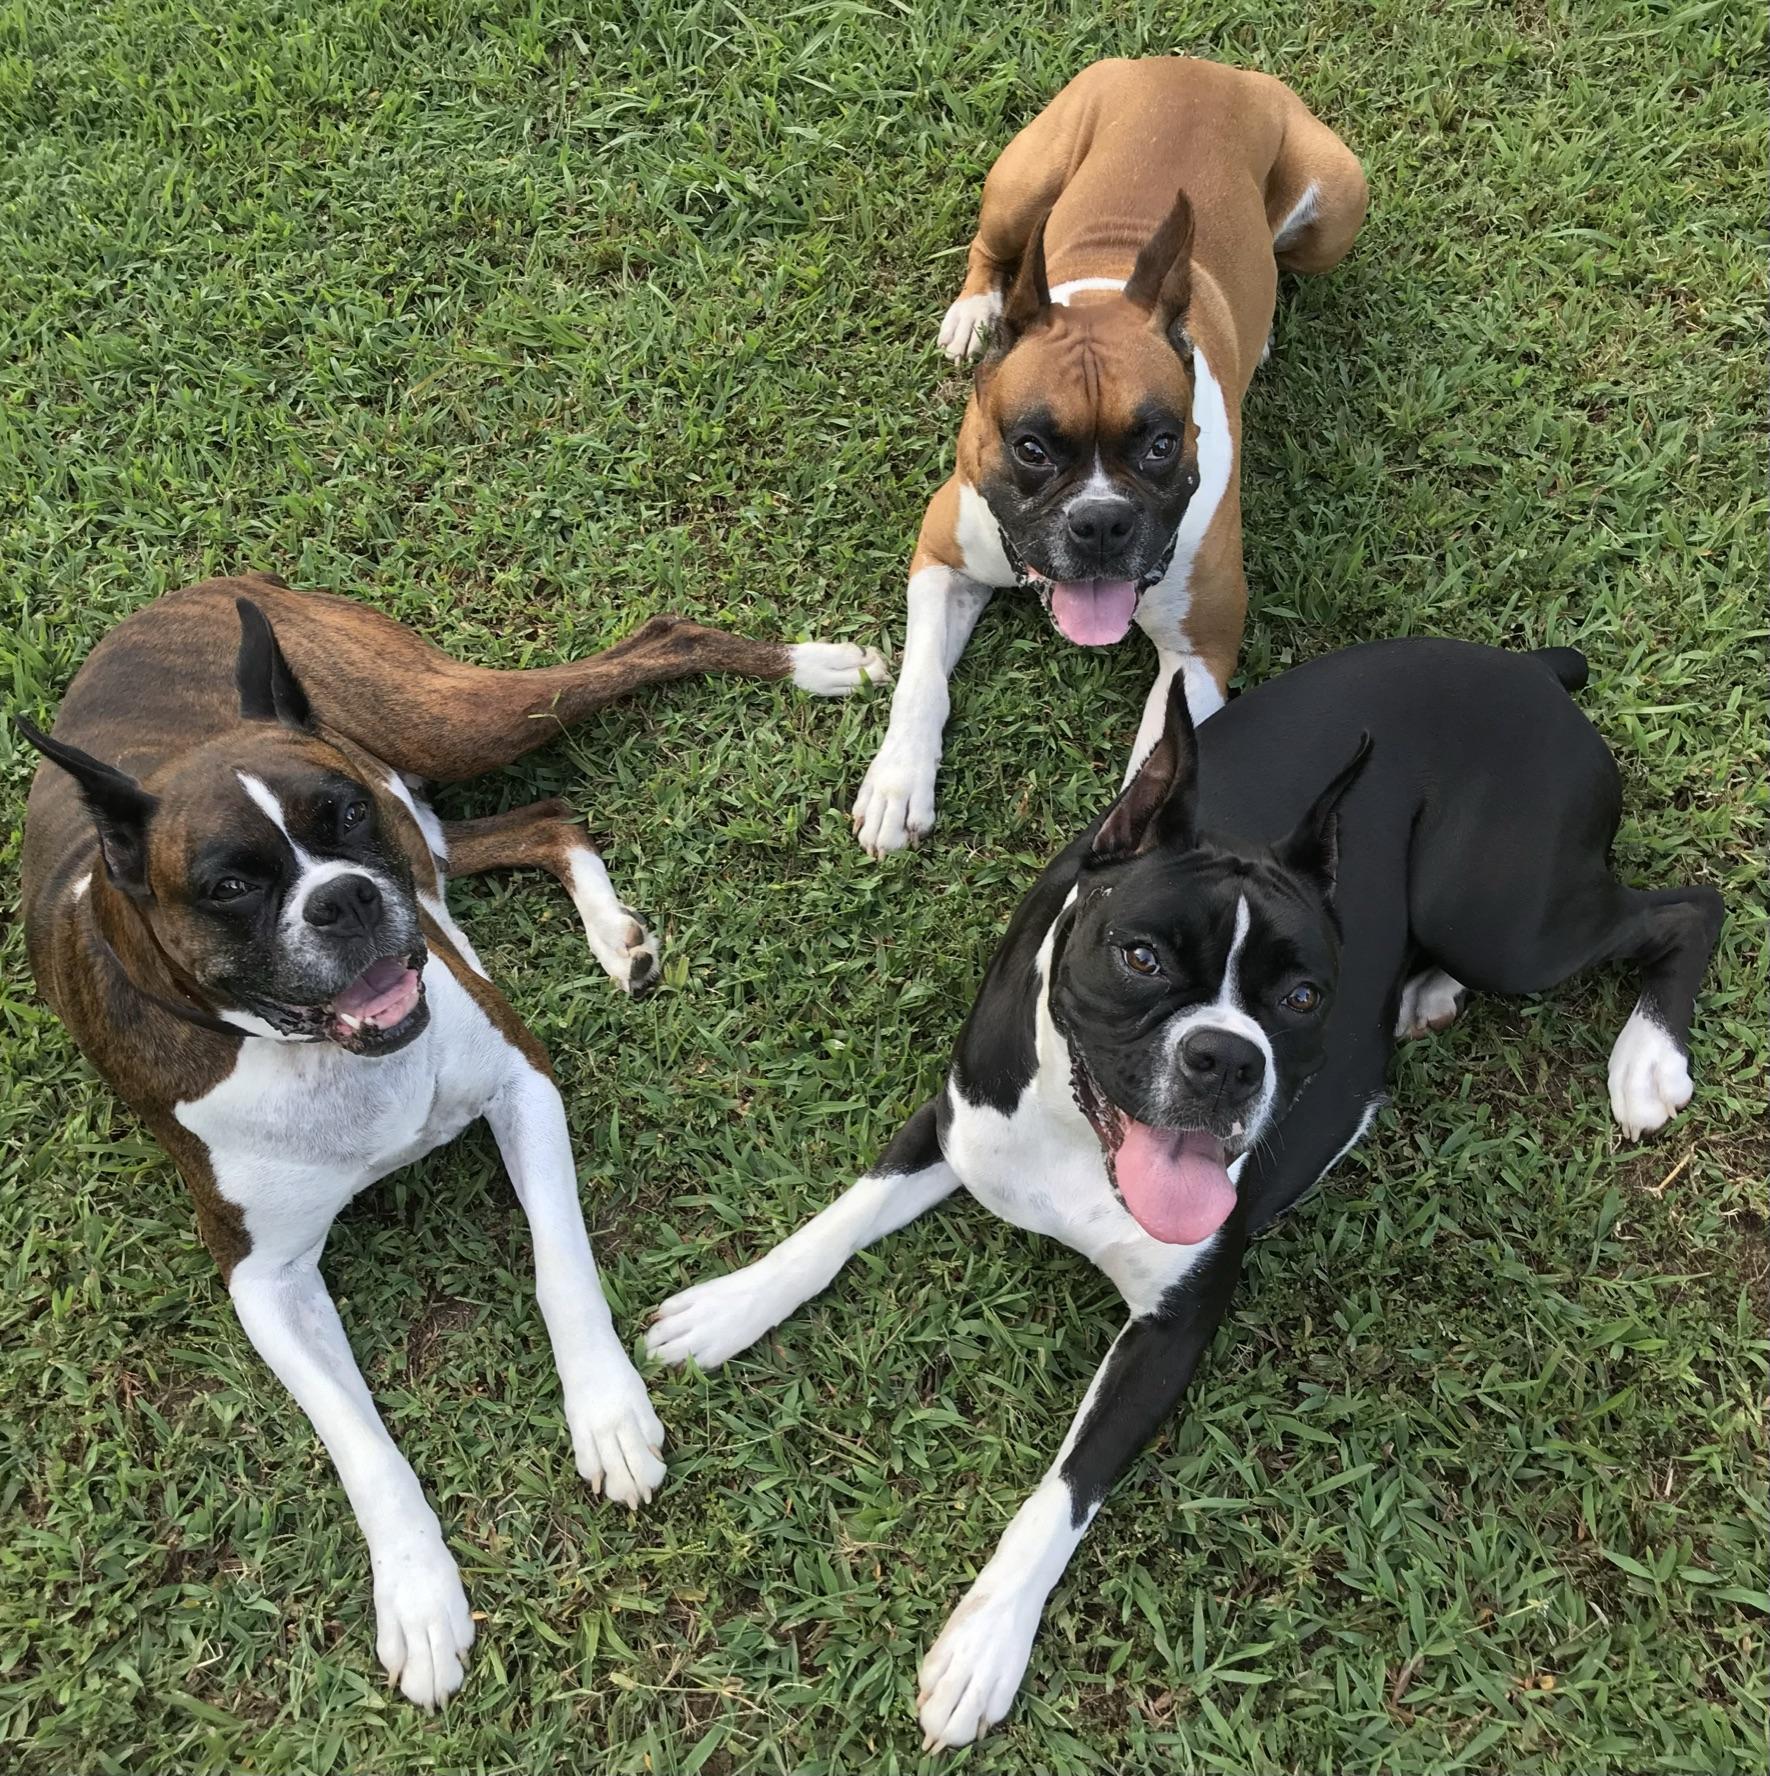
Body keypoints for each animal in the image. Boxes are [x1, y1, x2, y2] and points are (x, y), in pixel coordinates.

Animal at [17, 573, 885, 1706]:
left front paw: (608, 1415)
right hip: (428, 801)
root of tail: (205, 583)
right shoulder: (264, 1281)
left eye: (340, 816)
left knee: (653, 649)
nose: (346, 895)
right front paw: (418, 1597)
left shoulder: (522, 1083)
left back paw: (819, 666)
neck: (325, 1057)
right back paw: (615, 932)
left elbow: (561, 1271)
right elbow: (358, 1442)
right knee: (535, 821)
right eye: (229, 885)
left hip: (443, 725)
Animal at [653, 638, 1722, 1745]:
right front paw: (731, 1306)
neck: (1082, 1145)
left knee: (1692, 906)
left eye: (1303, 997)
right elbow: (841, 1218)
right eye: (1141, 956)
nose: (1226, 1058)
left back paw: (1647, 1059)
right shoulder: (949, 1120)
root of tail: (1529, 670)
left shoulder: (1172, 1330)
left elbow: (1064, 1489)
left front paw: (984, 1645)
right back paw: (1429, 993)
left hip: (1506, 921)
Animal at [852, 55, 1368, 856]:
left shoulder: (1199, 654)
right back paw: (974, 315)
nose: (1099, 523)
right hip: (1022, 183)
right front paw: (898, 782)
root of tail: (1201, 65)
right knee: (990, 251)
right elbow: (921, 681)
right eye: (1031, 447)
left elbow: (1156, 771)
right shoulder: (942, 556)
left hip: (1339, 201)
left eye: (1160, 444)